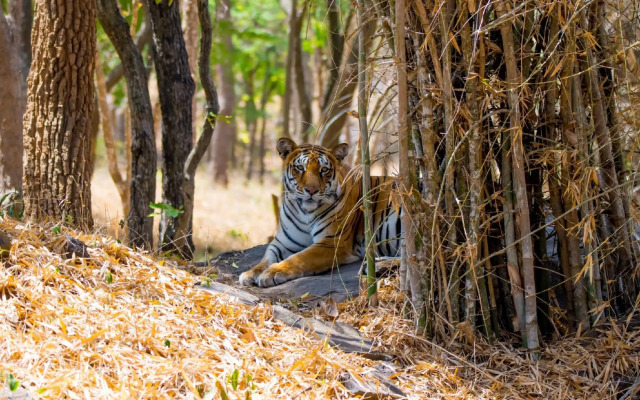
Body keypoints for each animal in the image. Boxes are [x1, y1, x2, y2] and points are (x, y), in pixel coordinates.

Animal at [240, 138, 400, 288]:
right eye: (300, 168)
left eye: (324, 169)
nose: (311, 190)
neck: (304, 212)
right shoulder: (283, 242)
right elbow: (265, 258)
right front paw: (249, 274)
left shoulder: (332, 242)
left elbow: (299, 257)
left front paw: (272, 272)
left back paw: (377, 267)